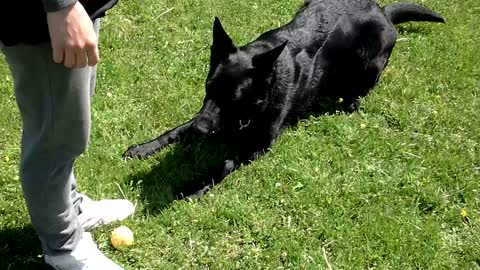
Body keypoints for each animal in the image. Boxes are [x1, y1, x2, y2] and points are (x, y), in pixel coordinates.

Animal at [124, 0, 442, 190]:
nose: (202, 132)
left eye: (235, 98)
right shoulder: (207, 113)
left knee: (354, 97)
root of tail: (384, 12)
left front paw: (193, 187)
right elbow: (177, 129)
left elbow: (225, 163)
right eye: (208, 88)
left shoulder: (259, 144)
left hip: (369, 67)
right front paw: (145, 148)